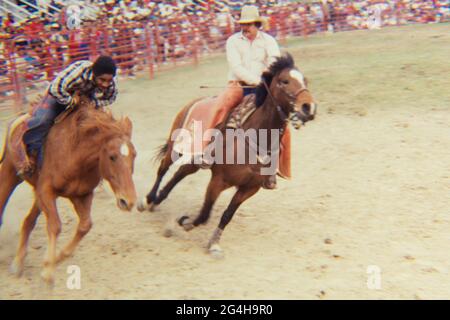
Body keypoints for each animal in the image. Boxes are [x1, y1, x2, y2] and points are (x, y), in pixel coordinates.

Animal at [0, 96, 137, 284]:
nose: (128, 201)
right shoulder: (46, 190)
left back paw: (18, 263)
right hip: (9, 174)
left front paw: (55, 259)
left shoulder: (81, 194)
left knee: (28, 221)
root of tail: (18, 119)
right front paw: (48, 272)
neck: (76, 153)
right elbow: (55, 226)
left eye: (134, 155)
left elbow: (85, 225)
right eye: (112, 156)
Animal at [139, 53, 318, 258]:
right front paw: (185, 221)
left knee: (180, 173)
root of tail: (194, 101)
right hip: (175, 148)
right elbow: (205, 213)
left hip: (194, 159)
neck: (255, 139)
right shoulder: (218, 180)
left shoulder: (249, 188)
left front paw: (213, 243)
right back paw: (148, 200)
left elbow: (226, 215)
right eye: (284, 81)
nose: (308, 107)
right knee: (163, 168)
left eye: (305, 80)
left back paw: (158, 200)